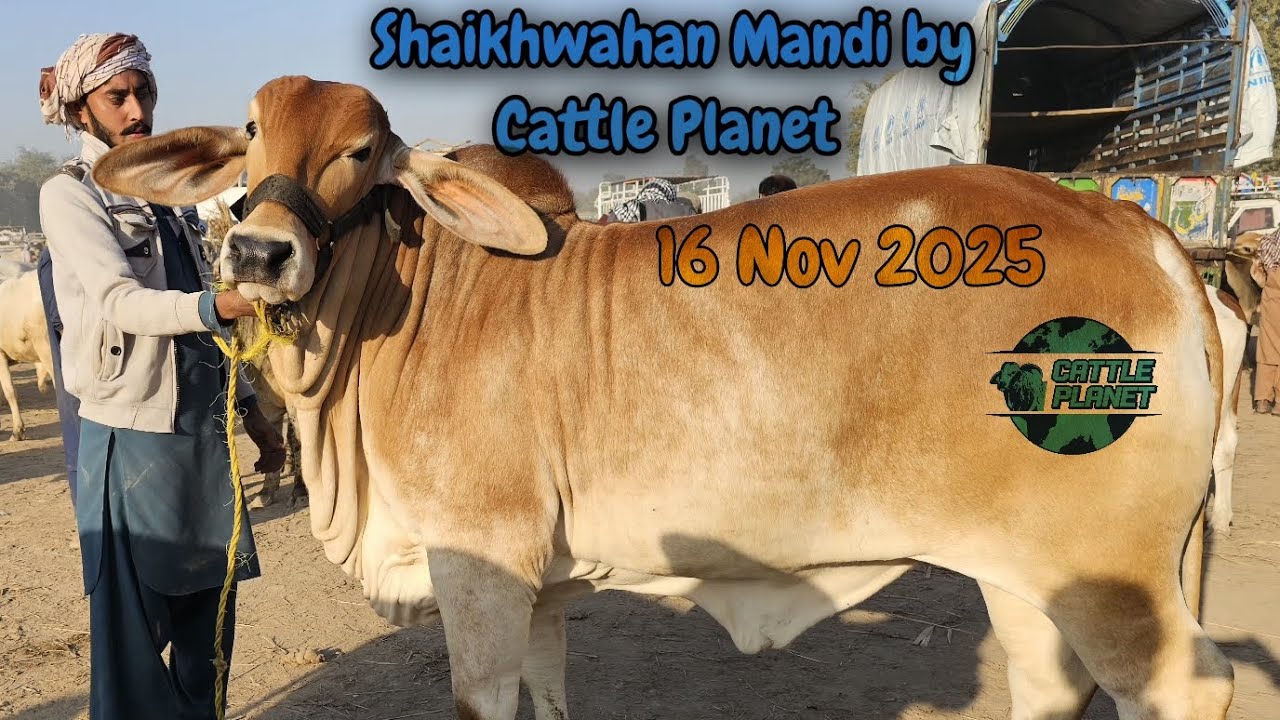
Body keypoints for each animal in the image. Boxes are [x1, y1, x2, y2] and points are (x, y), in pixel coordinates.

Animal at [92, 75, 1234, 720]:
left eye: (361, 149)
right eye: (249, 132)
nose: (255, 252)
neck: (409, 307)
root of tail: (1137, 224)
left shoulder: (478, 568)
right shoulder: (539, 588)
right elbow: (550, 697)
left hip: (1109, 572)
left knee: (1188, 689)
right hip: (1022, 571)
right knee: (1049, 685)